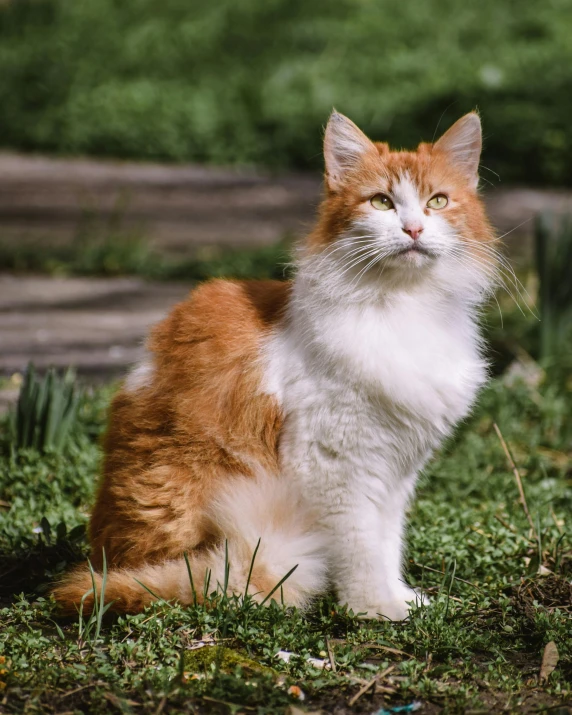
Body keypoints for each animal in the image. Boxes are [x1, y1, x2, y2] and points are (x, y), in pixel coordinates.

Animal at [53, 110, 496, 620]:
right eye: (382, 202)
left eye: (437, 201)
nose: (413, 230)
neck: (404, 306)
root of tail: (107, 558)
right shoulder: (336, 466)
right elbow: (362, 549)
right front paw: (375, 610)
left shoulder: (396, 470)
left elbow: (388, 542)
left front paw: (401, 598)